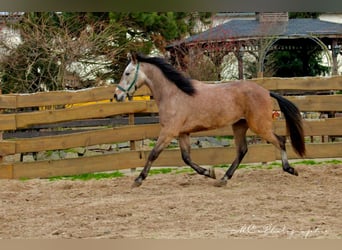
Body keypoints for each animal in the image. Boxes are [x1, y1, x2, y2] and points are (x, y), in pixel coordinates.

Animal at [113, 51, 306, 187]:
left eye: (127, 73)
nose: (116, 96)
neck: (174, 94)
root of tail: (266, 91)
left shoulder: (169, 132)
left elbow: (153, 154)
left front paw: (138, 180)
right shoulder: (182, 133)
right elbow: (186, 158)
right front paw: (209, 173)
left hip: (259, 126)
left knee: (280, 141)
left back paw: (290, 169)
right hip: (240, 125)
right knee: (242, 150)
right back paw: (223, 178)